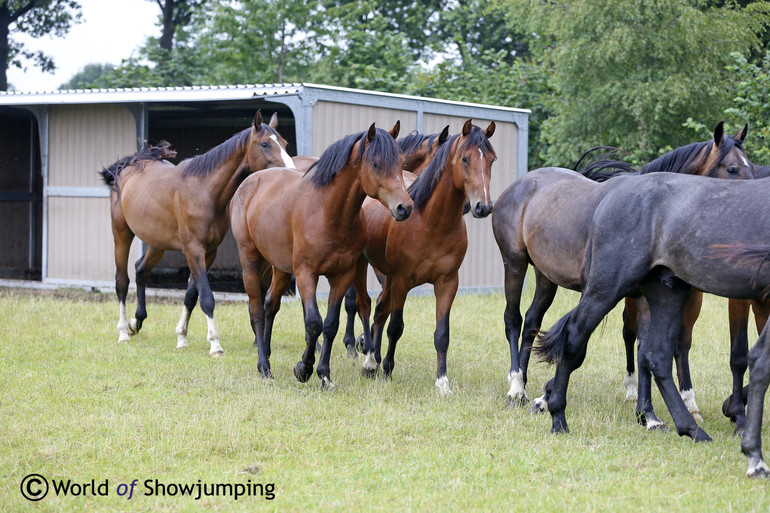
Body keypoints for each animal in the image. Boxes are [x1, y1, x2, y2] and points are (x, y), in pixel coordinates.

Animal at [102, 110, 294, 354]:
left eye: (285, 143)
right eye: (264, 144)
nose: (291, 172)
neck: (204, 190)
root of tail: (130, 164)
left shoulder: (209, 252)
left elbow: (191, 296)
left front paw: (182, 337)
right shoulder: (194, 251)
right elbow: (207, 298)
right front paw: (215, 343)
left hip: (157, 242)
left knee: (141, 270)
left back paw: (136, 322)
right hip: (121, 234)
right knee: (121, 281)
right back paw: (123, 332)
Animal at [230, 122, 414, 386]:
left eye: (401, 163)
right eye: (376, 164)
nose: (404, 207)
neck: (327, 212)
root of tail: (251, 181)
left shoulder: (342, 276)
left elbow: (330, 325)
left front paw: (324, 374)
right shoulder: (306, 274)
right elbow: (313, 323)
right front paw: (303, 368)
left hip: (281, 268)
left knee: (270, 305)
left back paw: (267, 352)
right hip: (251, 261)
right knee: (256, 311)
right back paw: (264, 367)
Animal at [352, 119, 496, 392]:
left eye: (492, 160)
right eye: (465, 159)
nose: (482, 206)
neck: (432, 223)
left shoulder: (447, 283)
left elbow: (442, 334)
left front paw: (442, 382)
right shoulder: (401, 281)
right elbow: (396, 327)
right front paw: (387, 369)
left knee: (380, 309)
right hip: (365, 267)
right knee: (368, 307)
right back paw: (370, 362)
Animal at [492, 122, 752, 414]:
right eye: (733, 168)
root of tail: (520, 184)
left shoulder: (645, 298)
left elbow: (644, 350)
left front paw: (647, 412)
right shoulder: (600, 293)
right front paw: (547, 396)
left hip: (546, 276)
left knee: (532, 322)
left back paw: (524, 384)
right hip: (514, 264)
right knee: (513, 320)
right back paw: (515, 387)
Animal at [528, 173, 770, 476]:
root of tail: (608, 195)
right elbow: (758, 362)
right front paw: (753, 452)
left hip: (667, 293)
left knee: (657, 355)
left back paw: (693, 430)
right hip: (608, 286)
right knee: (574, 337)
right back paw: (558, 417)